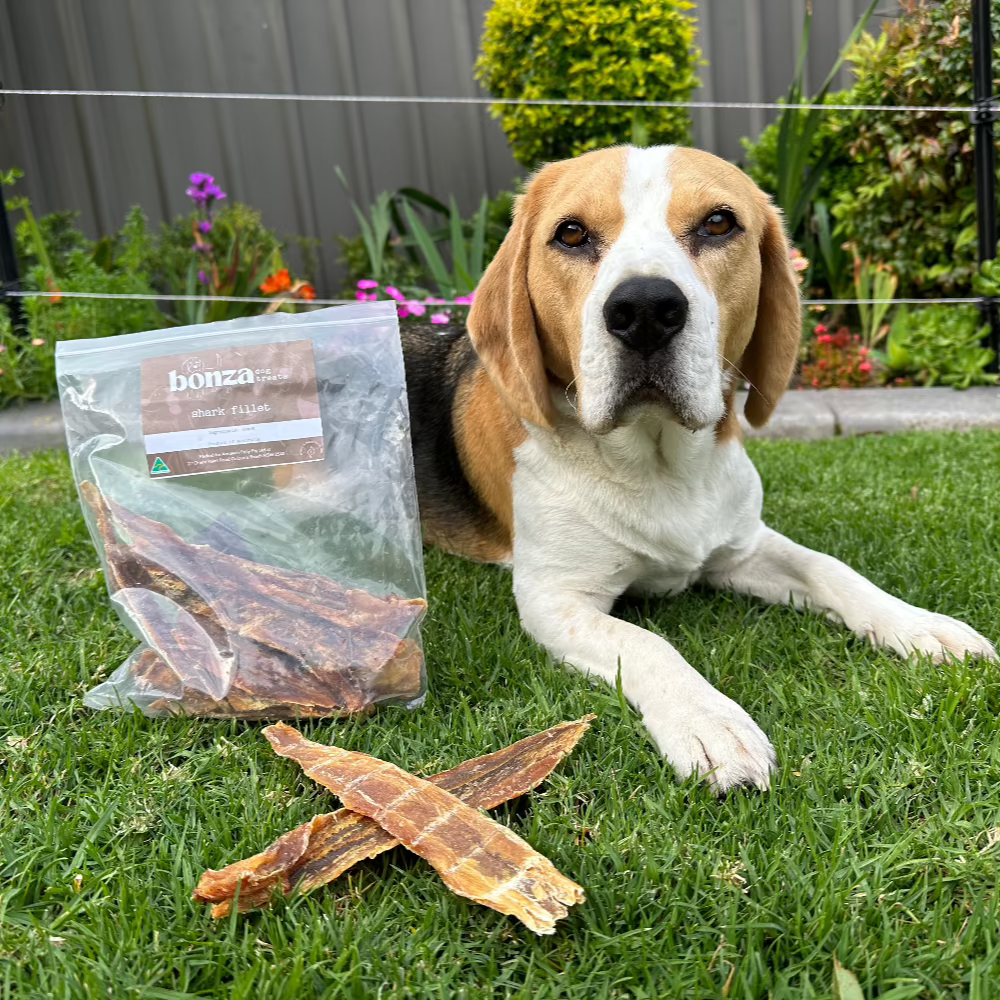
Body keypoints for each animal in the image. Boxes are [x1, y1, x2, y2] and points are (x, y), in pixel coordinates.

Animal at [400, 145, 1000, 792]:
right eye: (571, 233)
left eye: (718, 224)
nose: (643, 309)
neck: (661, 467)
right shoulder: (555, 599)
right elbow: (645, 643)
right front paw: (709, 721)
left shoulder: (742, 546)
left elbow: (832, 570)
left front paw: (919, 626)